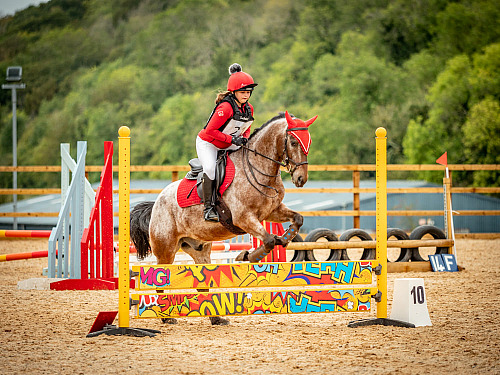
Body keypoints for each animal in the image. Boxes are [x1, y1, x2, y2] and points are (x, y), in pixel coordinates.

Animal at [129, 110, 316, 324]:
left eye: (308, 142)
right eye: (293, 142)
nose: (301, 179)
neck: (260, 169)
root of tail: (156, 204)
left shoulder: (272, 211)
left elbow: (297, 220)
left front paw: (283, 240)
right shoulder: (243, 218)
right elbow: (268, 240)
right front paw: (247, 256)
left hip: (199, 249)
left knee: (202, 281)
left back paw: (215, 317)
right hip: (166, 249)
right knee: (160, 278)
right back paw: (167, 317)